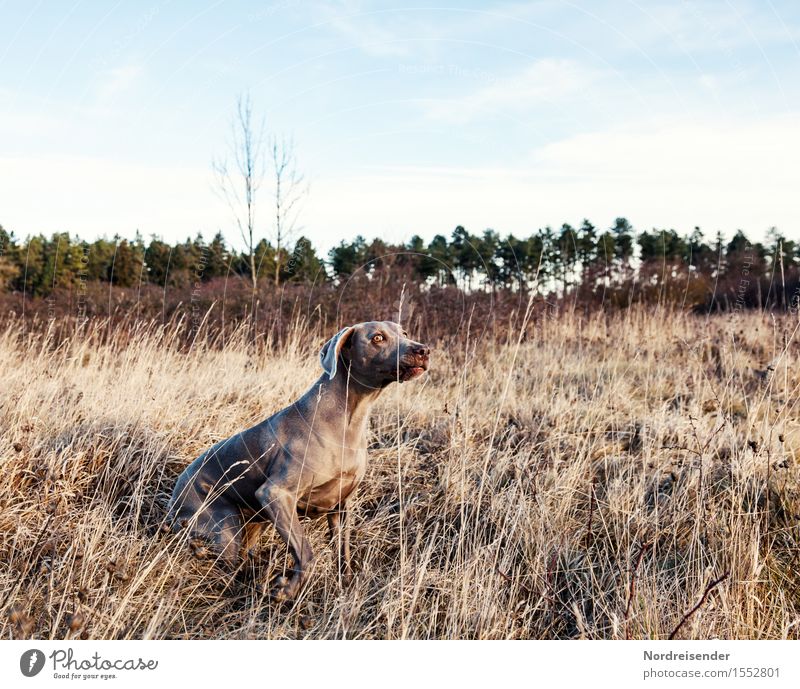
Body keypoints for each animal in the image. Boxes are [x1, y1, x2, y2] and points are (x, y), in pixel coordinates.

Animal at [166, 320, 432, 600]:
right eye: (377, 338)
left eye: (404, 333)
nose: (423, 350)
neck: (349, 419)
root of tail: (173, 499)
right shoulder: (275, 494)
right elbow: (306, 552)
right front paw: (287, 589)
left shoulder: (341, 506)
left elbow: (343, 554)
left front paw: (345, 588)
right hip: (223, 524)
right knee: (224, 568)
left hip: (252, 523)